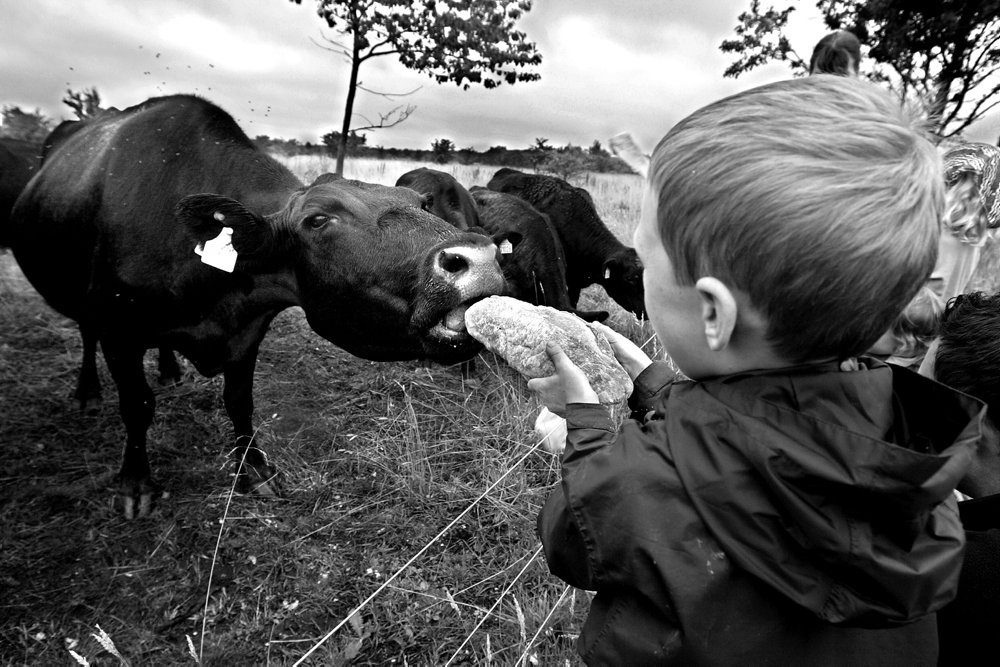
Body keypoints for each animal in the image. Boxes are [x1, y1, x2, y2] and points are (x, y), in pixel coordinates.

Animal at [7, 95, 508, 516]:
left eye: (421, 201)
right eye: (318, 219)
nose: (478, 257)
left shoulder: (248, 330)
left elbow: (239, 402)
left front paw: (254, 470)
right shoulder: (118, 330)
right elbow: (136, 404)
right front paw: (135, 484)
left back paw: (169, 369)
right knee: (84, 333)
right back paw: (88, 390)